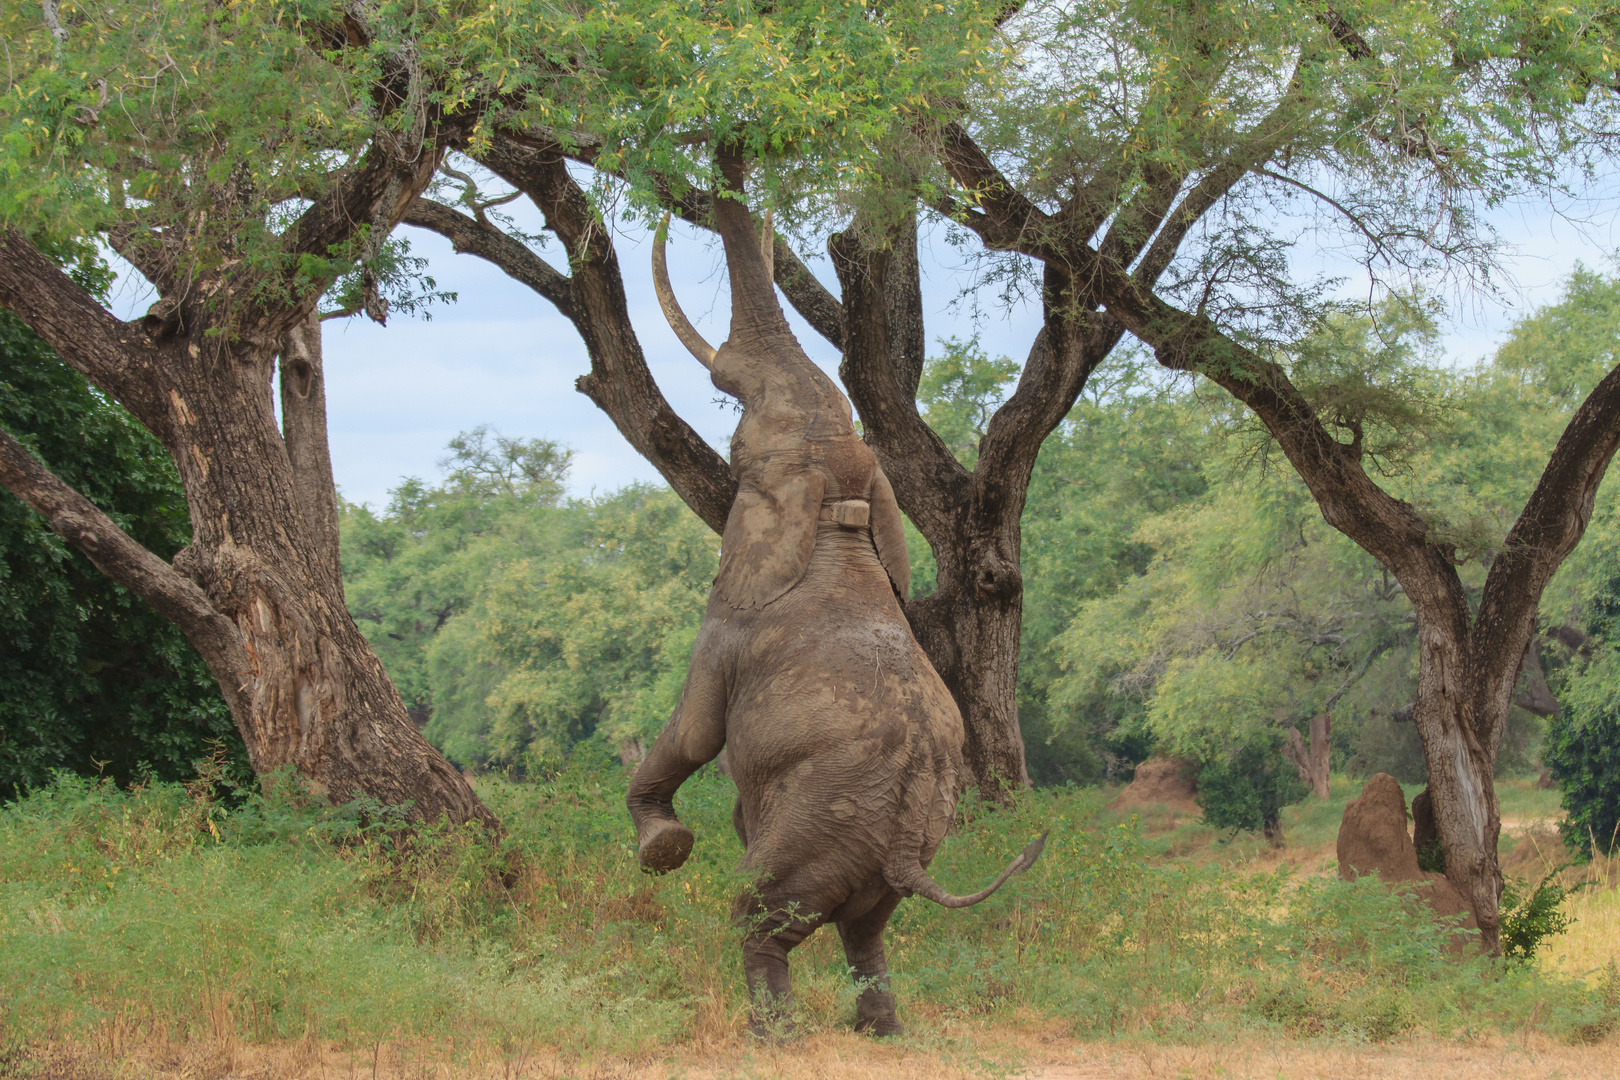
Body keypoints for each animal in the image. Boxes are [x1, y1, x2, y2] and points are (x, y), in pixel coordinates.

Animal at [625, 156, 1043, 1042]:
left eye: (738, 439)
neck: (837, 501)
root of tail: (905, 850)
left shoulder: (732, 622)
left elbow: (695, 727)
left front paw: (663, 848)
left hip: (820, 827)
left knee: (759, 914)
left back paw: (772, 1035)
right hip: (890, 841)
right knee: (867, 929)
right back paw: (878, 1029)